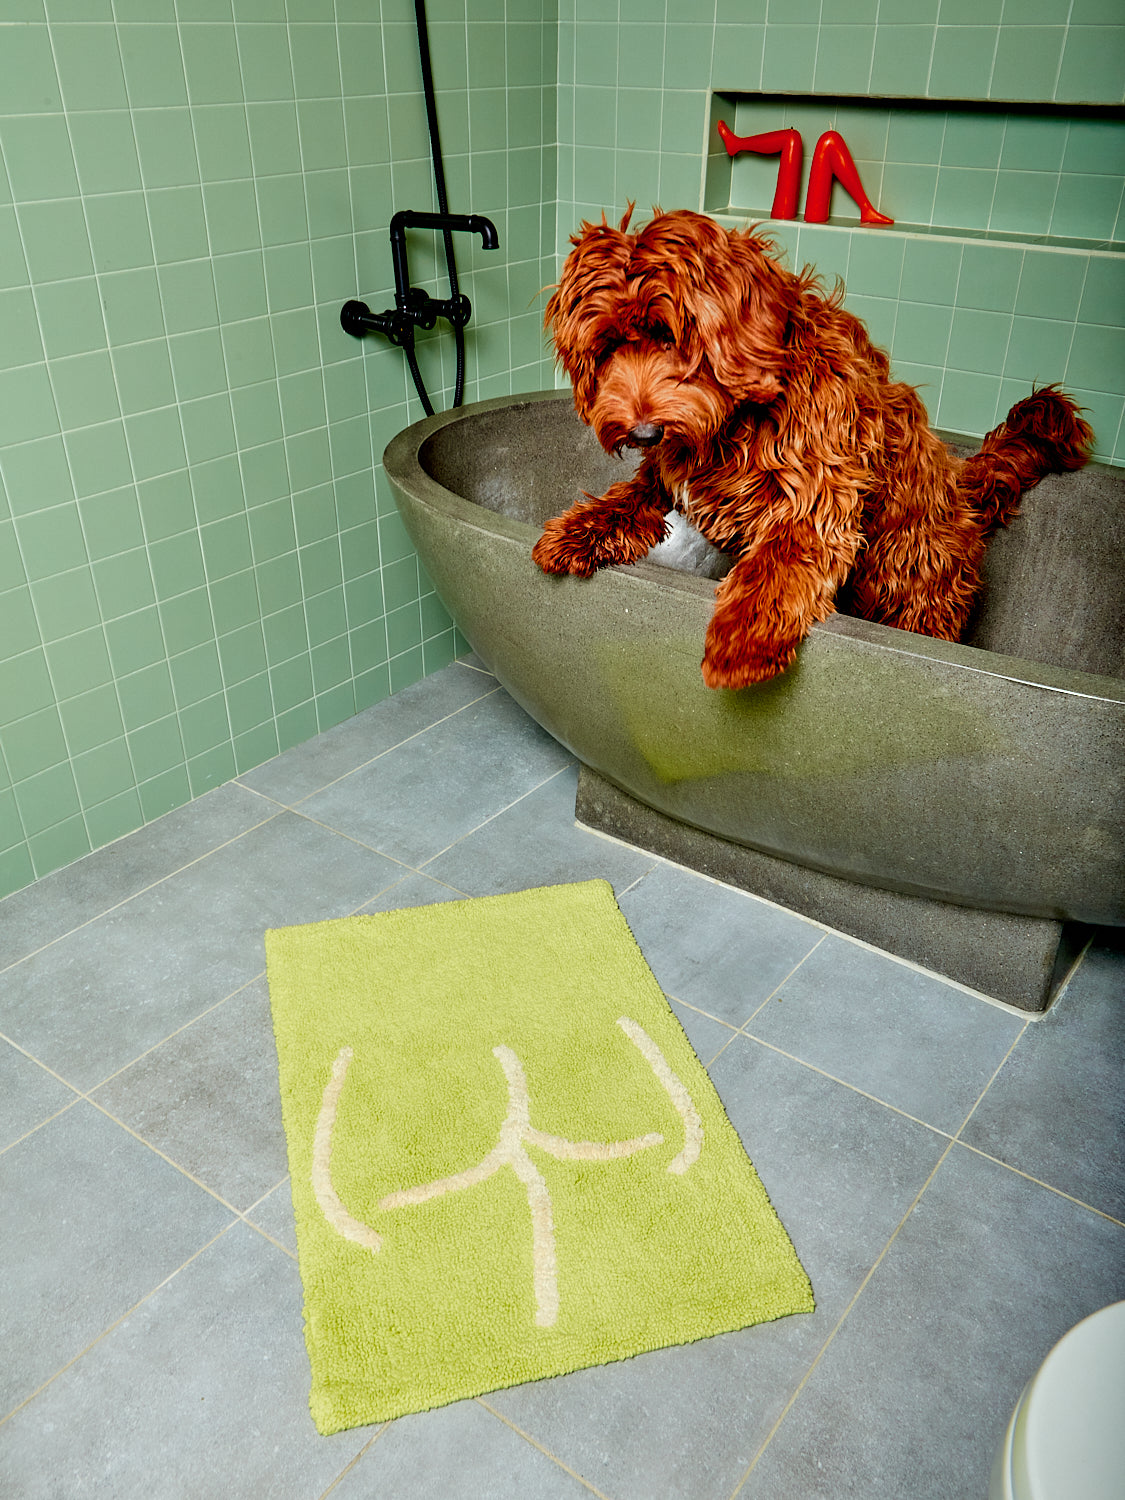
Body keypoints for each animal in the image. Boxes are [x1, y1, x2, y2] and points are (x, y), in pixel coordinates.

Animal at [534, 208, 1098, 687]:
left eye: (669, 335)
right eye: (608, 346)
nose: (644, 433)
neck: (734, 422)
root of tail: (962, 491)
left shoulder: (820, 491)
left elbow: (780, 561)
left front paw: (741, 641)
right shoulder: (670, 477)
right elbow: (632, 496)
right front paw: (576, 531)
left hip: (912, 586)